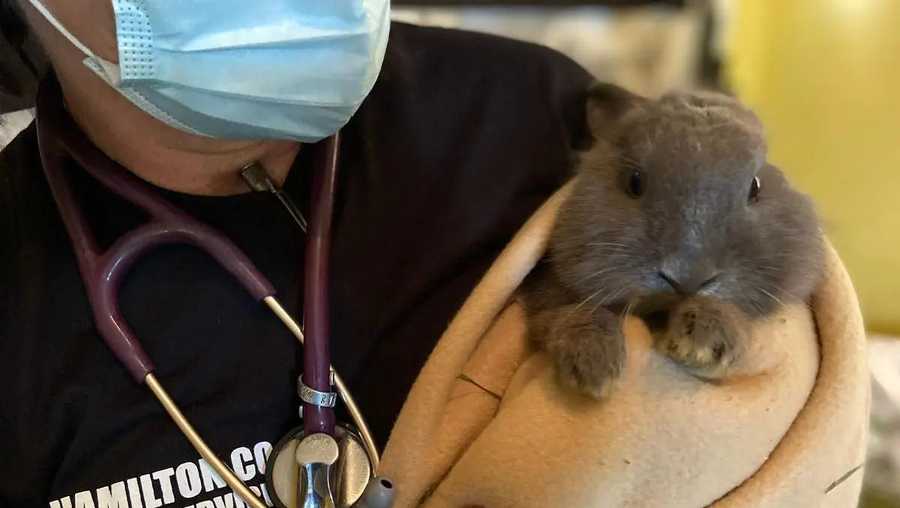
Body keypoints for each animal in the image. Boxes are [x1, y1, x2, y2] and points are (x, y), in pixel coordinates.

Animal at [520, 84, 825, 398]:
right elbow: (568, 312)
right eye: (634, 182)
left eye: (756, 187)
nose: (686, 277)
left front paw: (701, 343)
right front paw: (595, 369)